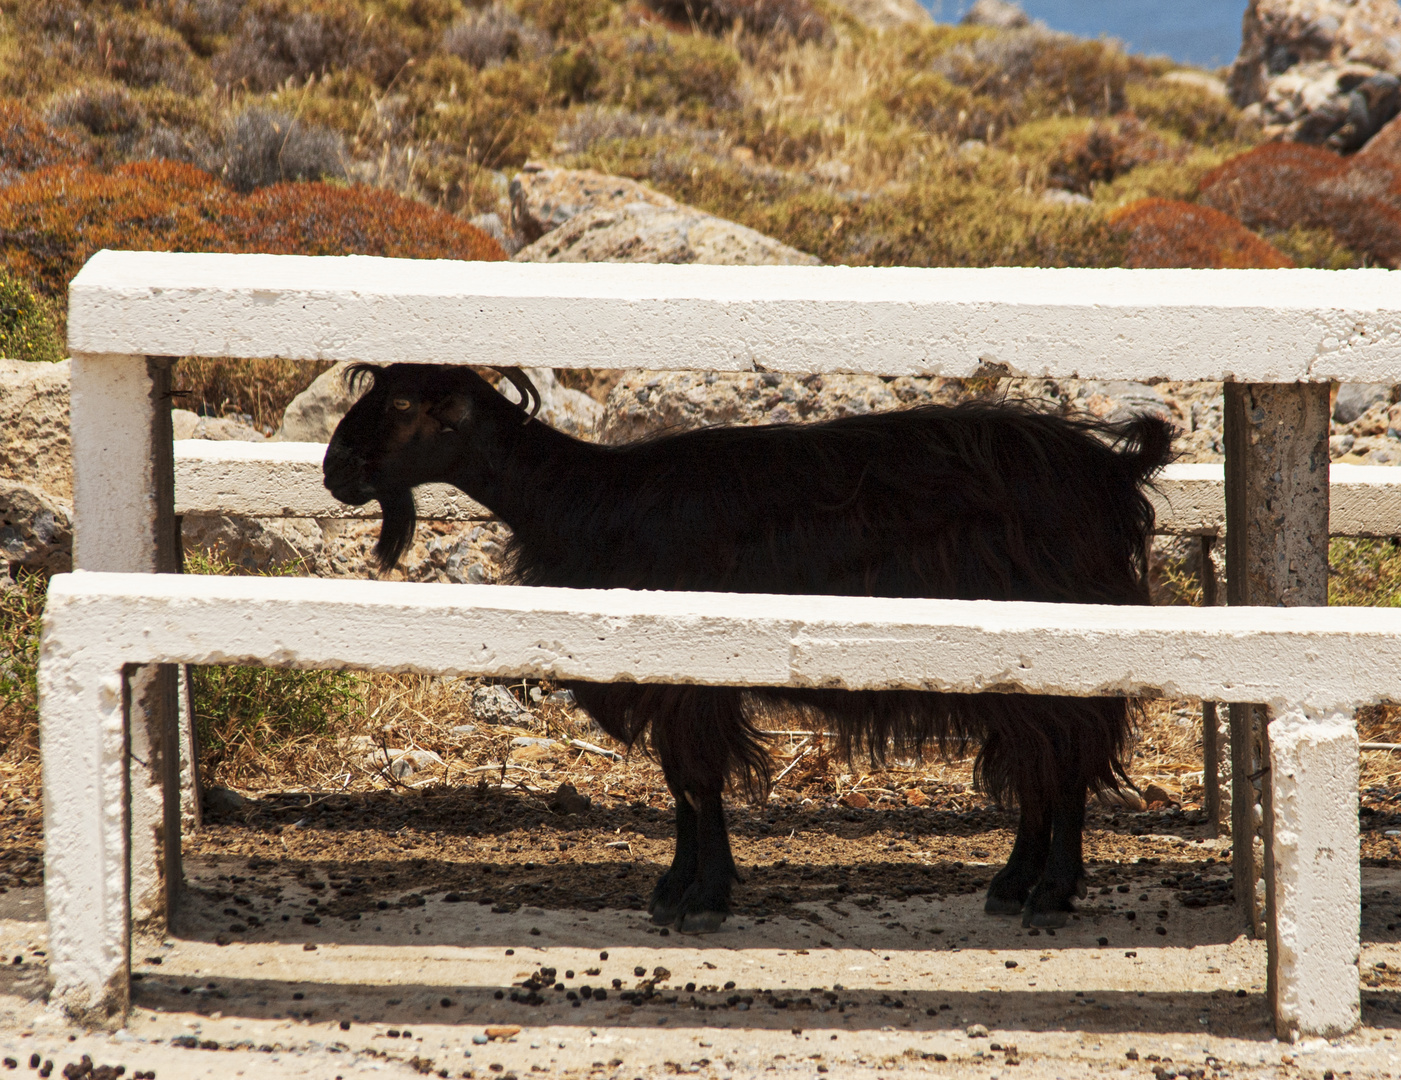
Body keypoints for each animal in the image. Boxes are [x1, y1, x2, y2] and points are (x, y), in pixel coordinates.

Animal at [325, 364, 1171, 930]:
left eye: (401, 403)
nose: (335, 470)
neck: (590, 503)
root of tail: (1111, 467)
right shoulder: (671, 680)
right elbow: (680, 786)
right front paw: (675, 891)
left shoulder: (691, 680)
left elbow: (699, 784)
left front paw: (700, 900)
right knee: (1039, 767)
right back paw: (1011, 885)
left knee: (1062, 766)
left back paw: (1049, 895)